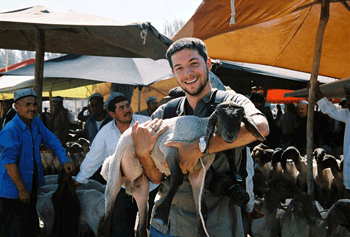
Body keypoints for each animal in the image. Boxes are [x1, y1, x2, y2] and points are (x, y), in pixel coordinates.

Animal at [99, 101, 266, 237]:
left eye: (240, 116)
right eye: (219, 114)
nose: (230, 135)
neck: (200, 131)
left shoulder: (198, 173)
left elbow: (199, 203)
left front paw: (202, 229)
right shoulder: (169, 148)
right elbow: (177, 179)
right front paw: (162, 215)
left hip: (142, 189)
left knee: (140, 229)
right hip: (114, 177)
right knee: (106, 218)